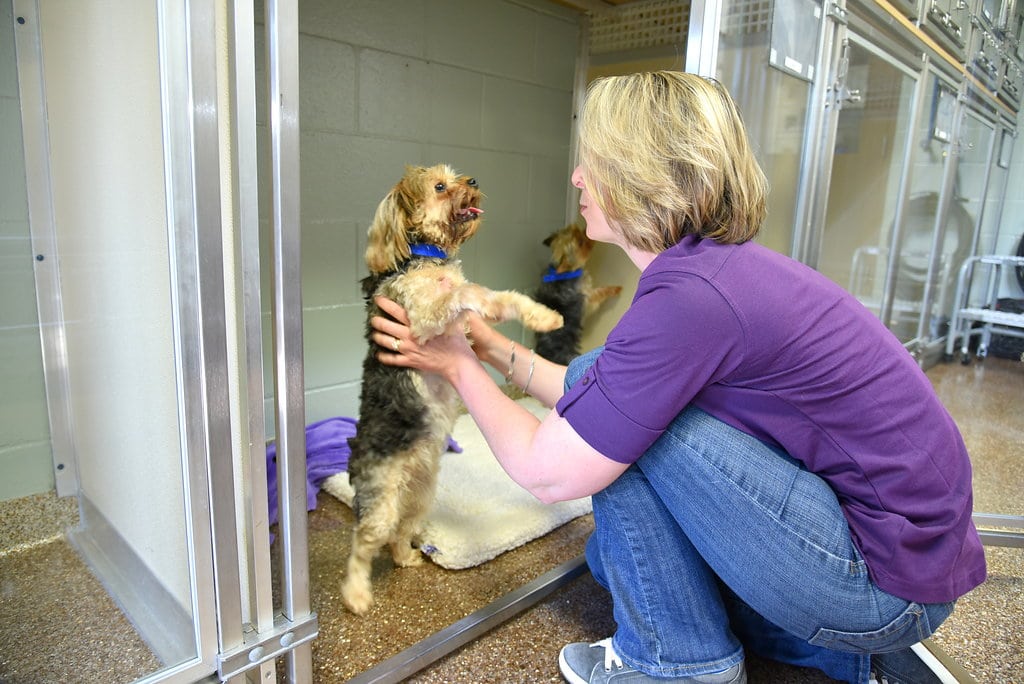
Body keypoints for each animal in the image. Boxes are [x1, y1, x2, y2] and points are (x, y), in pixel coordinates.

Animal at [342, 163, 565, 614]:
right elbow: (465, 291)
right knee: (364, 541)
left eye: (455, 175)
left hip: (421, 495)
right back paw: (356, 594)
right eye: (440, 186)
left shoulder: (466, 323)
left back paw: (407, 557)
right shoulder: (422, 314)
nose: (474, 181)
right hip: (382, 500)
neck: (426, 256)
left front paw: (543, 316)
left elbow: (495, 297)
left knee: (401, 532)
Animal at [536, 222, 622, 366]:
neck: (566, 273)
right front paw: (615, 289)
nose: (587, 231)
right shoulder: (588, 297)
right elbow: (600, 292)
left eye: (576, 229)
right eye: (581, 243)